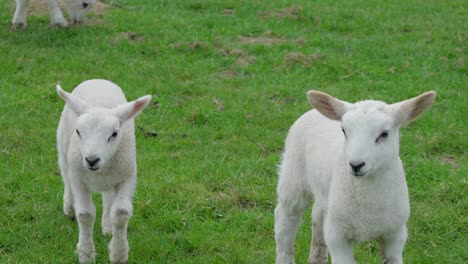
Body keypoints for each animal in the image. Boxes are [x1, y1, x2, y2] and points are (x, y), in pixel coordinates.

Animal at [56, 80, 152, 264]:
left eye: (114, 134)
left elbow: (121, 212)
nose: (92, 160)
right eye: (78, 131)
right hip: (64, 147)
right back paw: (69, 207)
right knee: (65, 175)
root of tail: (97, 80)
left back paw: (107, 226)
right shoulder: (79, 179)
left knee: (108, 196)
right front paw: (85, 253)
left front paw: (118, 254)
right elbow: (85, 214)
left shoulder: (127, 177)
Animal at [274, 89, 436, 262]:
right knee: (286, 218)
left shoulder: (395, 235)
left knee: (317, 216)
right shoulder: (337, 237)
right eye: (344, 131)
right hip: (293, 176)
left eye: (384, 134)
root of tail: (313, 111)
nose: (356, 165)